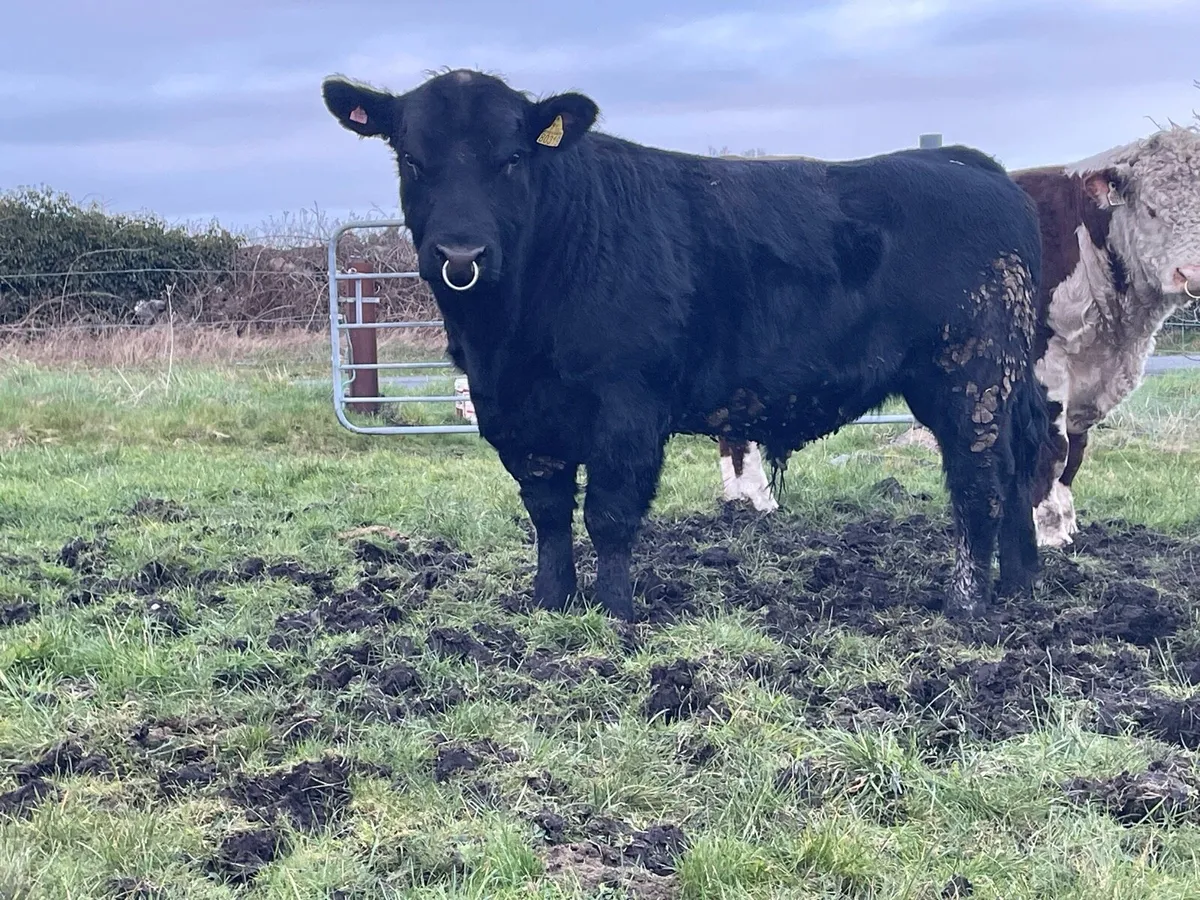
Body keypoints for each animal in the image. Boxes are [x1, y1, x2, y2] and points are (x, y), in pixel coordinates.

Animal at [321, 67, 1062, 622]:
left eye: (512, 158)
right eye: (411, 157)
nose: (460, 254)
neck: (508, 338)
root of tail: (966, 162)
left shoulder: (628, 405)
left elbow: (610, 513)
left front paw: (616, 613)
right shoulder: (518, 414)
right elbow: (548, 512)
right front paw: (550, 603)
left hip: (969, 372)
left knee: (980, 480)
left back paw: (966, 605)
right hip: (1004, 377)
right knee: (1022, 456)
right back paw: (1021, 582)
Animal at [716, 126, 1200, 545]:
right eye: (1151, 209)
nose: (1191, 273)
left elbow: (1075, 452)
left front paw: (1065, 522)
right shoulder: (1044, 363)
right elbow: (1053, 448)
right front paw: (1045, 528)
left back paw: (744, 501)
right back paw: (754, 498)